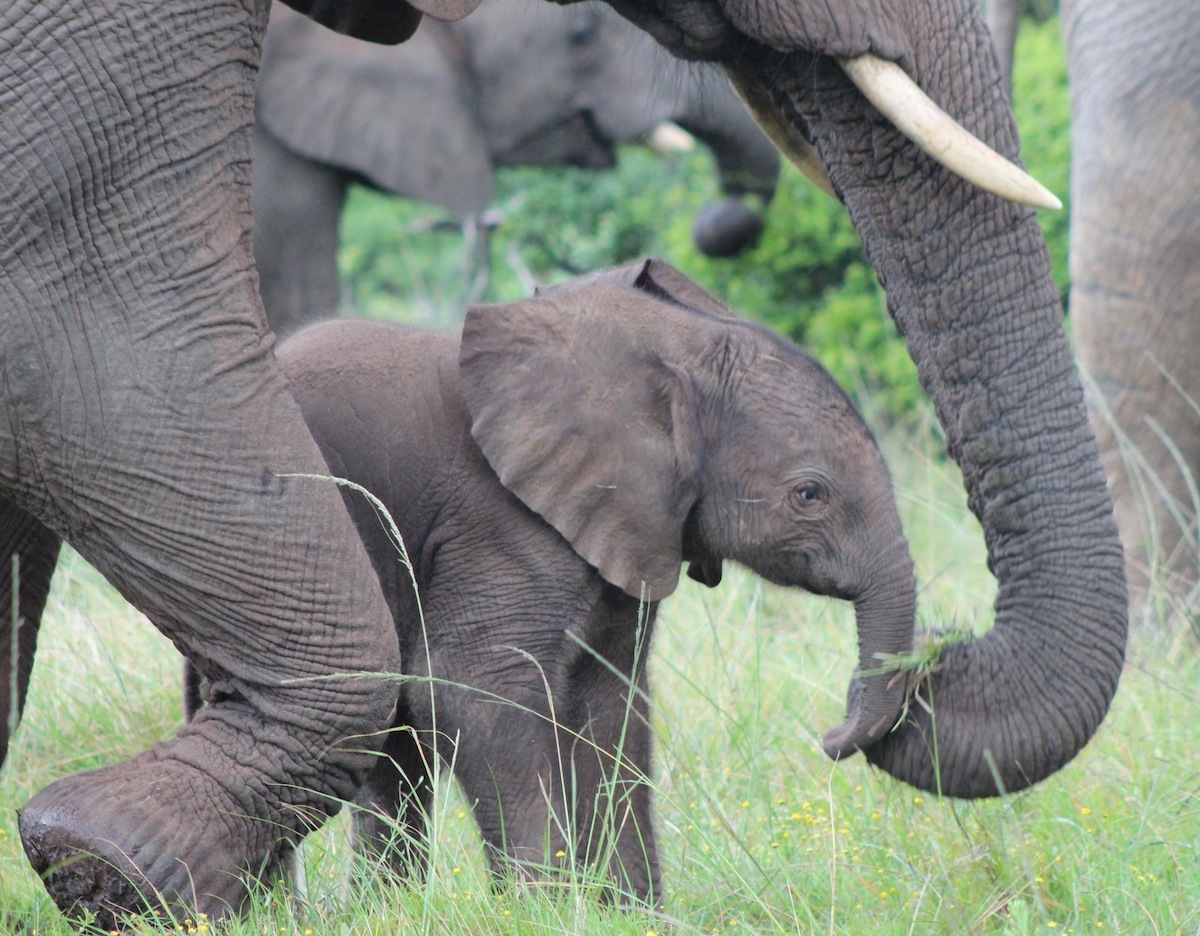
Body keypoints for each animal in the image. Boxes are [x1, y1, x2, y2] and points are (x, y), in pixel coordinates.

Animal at [184, 259, 907, 902]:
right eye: (809, 495)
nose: (830, 735)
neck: (664, 354)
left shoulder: (628, 529)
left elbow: (611, 704)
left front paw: (633, 915)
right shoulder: (501, 522)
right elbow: (472, 689)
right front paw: (542, 910)